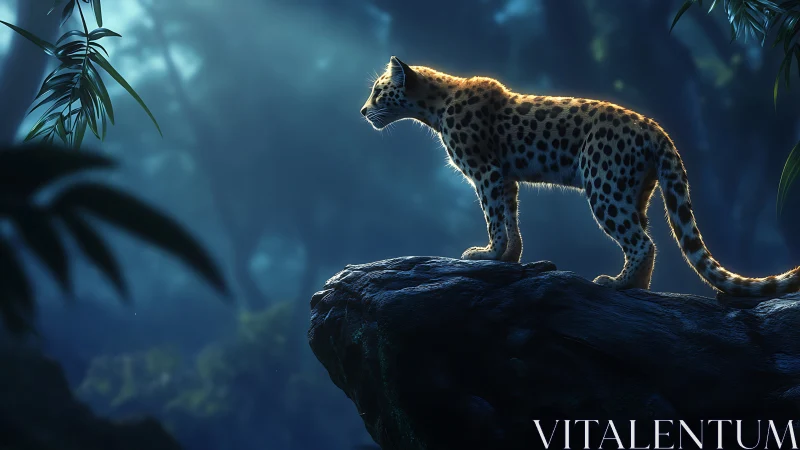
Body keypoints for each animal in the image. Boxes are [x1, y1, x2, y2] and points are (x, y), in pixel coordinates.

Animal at [360, 56, 800, 297]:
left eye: (379, 91)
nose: (363, 111)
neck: (433, 106)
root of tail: (657, 129)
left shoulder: (486, 172)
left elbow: (494, 218)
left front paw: (488, 255)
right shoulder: (506, 178)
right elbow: (511, 219)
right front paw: (509, 257)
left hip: (604, 186)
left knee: (641, 242)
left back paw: (614, 285)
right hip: (634, 191)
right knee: (647, 241)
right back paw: (635, 288)